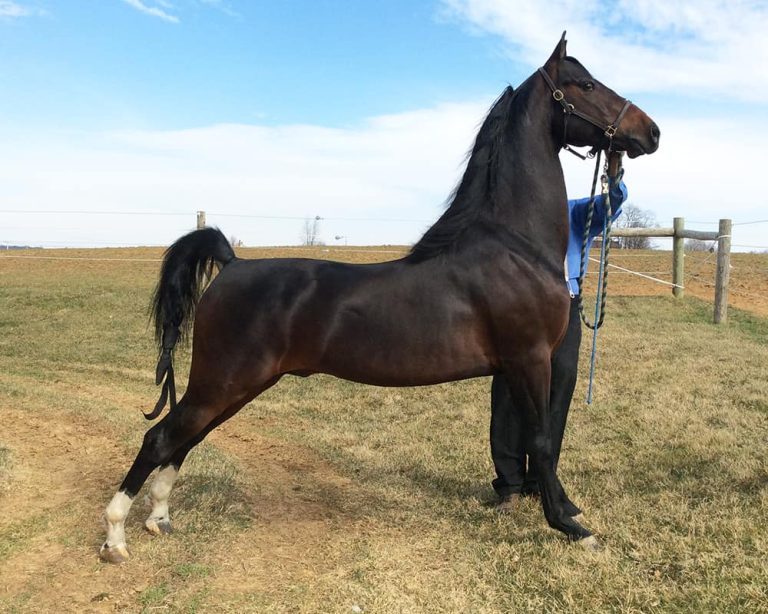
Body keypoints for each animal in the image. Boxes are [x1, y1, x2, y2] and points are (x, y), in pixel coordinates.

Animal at [100, 33, 660, 563]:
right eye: (586, 85)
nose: (650, 131)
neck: (514, 245)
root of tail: (232, 264)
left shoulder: (523, 365)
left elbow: (537, 442)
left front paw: (566, 513)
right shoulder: (529, 359)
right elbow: (542, 442)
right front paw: (572, 528)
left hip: (233, 386)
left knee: (185, 438)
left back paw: (160, 519)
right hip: (224, 381)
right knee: (162, 437)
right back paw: (115, 537)